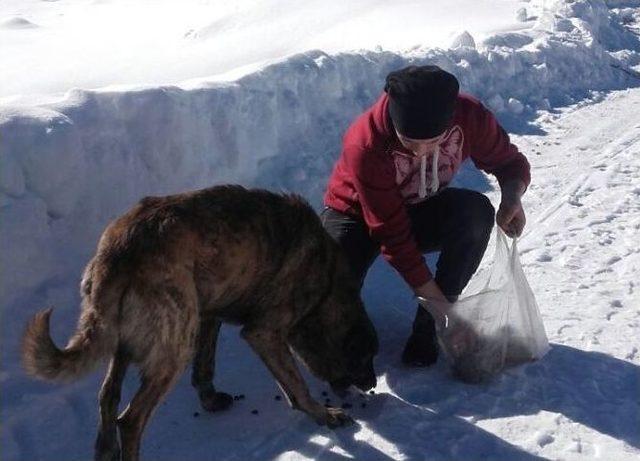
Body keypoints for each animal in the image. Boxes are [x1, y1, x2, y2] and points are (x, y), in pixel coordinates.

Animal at [22, 185, 378, 460]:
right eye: (366, 357)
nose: (373, 385)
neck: (328, 284)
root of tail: (120, 252)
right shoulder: (264, 332)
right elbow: (297, 385)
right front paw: (324, 414)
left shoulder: (209, 314)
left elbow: (205, 365)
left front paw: (210, 399)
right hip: (174, 345)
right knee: (131, 420)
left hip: (127, 335)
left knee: (108, 396)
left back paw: (105, 449)